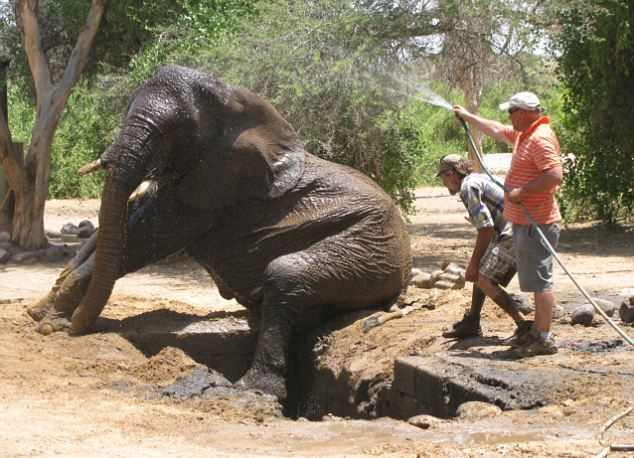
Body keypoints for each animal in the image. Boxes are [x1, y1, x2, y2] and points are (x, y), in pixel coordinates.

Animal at [29, 65, 412, 400]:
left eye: (171, 133)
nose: (79, 326)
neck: (233, 103)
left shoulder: (211, 195)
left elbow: (140, 241)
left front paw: (53, 326)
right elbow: (124, 227)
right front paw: (40, 313)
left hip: (369, 250)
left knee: (285, 274)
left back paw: (249, 388)